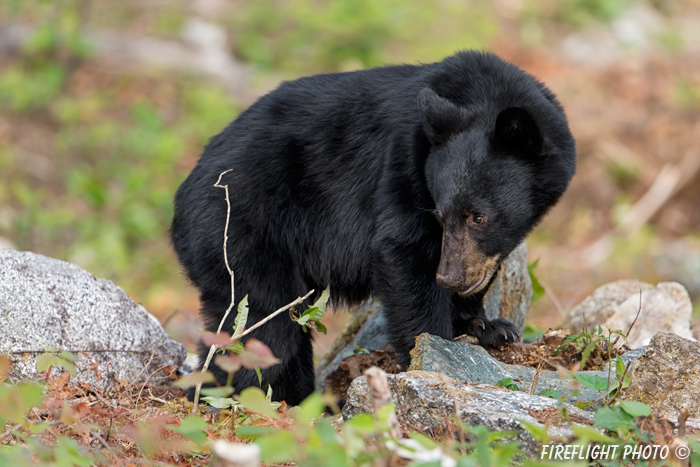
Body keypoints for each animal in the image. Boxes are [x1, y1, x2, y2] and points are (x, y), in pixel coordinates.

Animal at [171, 51, 576, 408]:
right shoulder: (403, 161)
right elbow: (402, 249)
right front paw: (434, 352)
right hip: (241, 233)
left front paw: (488, 326)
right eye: (441, 214)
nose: (449, 277)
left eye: (478, 216)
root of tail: (181, 200)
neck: (480, 91)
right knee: (262, 328)